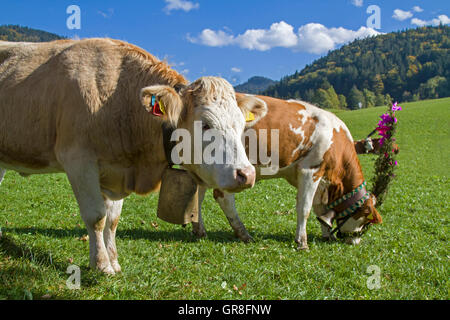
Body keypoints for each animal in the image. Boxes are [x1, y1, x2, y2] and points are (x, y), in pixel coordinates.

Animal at [0, 38, 253, 274]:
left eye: (242, 124)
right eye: (206, 124)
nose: (247, 174)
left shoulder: (116, 170)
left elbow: (112, 220)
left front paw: (113, 261)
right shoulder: (78, 161)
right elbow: (96, 216)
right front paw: (102, 265)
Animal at [194, 94, 384, 249]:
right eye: (366, 223)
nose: (355, 242)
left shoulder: (320, 178)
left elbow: (320, 209)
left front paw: (327, 235)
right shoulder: (310, 170)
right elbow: (305, 208)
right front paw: (302, 242)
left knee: (199, 195)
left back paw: (200, 231)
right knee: (223, 197)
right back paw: (243, 234)